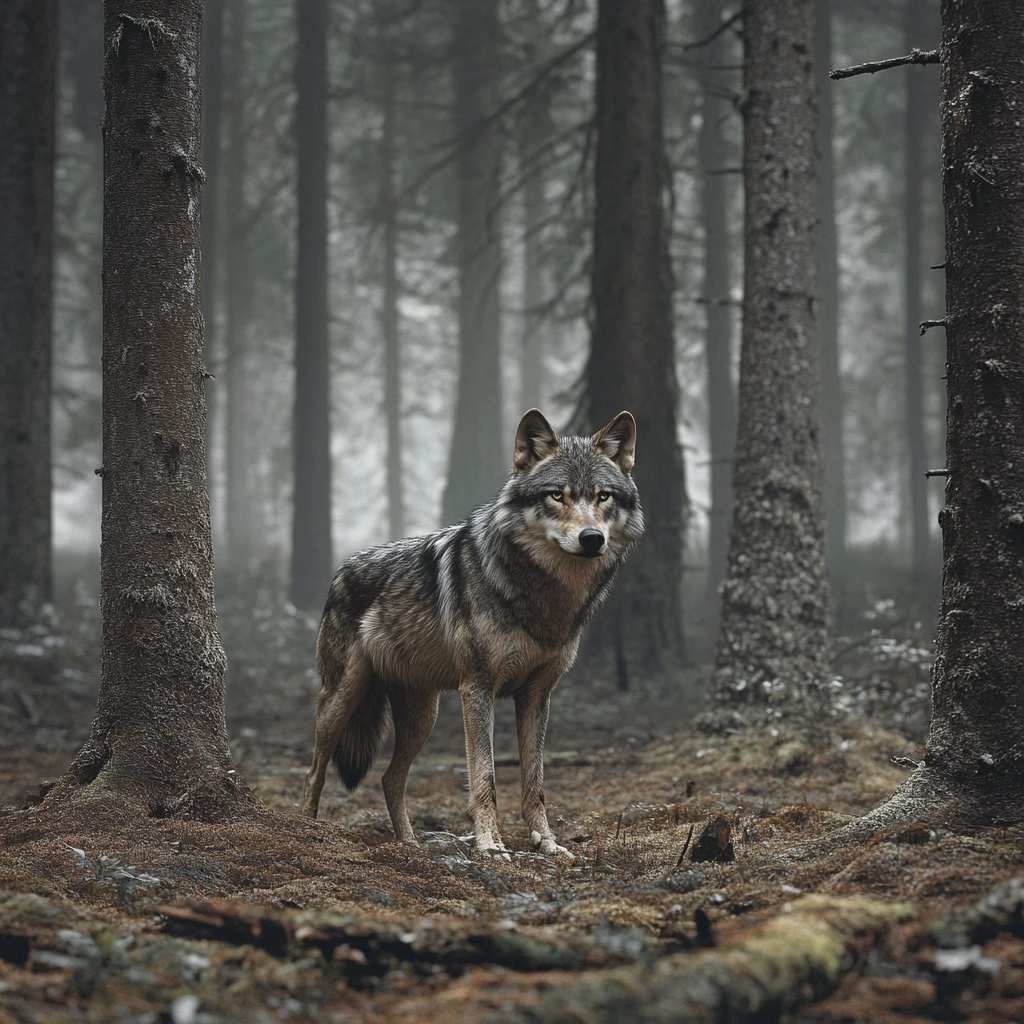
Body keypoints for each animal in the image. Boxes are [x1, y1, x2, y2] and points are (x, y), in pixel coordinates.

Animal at [299, 408, 644, 859]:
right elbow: (485, 776)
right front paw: (491, 845)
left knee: (389, 778)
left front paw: (547, 842)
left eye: (603, 496)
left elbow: (535, 783)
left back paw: (410, 843)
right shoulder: (477, 688)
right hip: (342, 698)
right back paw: (306, 826)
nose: (592, 539)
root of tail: (343, 569)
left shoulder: (537, 695)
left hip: (421, 717)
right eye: (557, 495)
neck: (544, 595)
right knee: (315, 770)